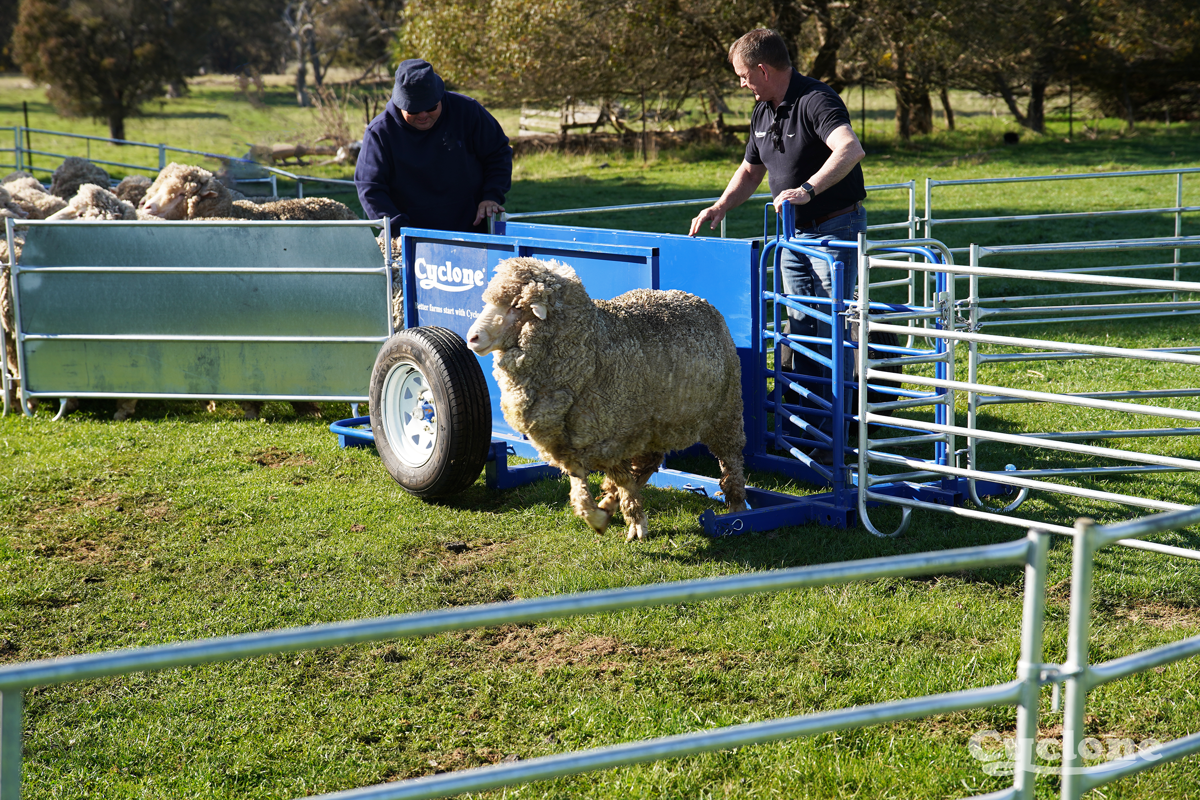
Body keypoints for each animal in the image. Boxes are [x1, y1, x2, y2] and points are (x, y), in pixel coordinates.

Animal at [463, 260, 744, 542]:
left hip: (725, 414)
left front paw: (635, 522)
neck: (590, 349)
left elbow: (623, 480)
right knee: (649, 461)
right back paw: (610, 500)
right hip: (654, 424)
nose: (472, 338)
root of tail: (695, 298)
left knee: (731, 462)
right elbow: (581, 489)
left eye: (516, 306)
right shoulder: (572, 442)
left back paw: (737, 508)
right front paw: (599, 516)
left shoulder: (612, 437)